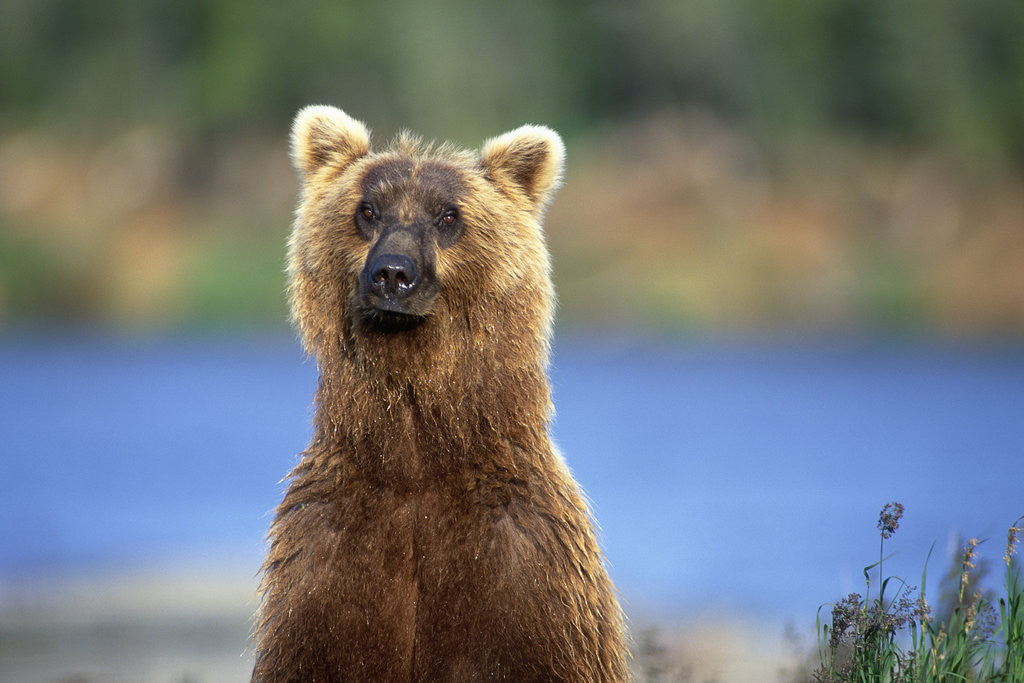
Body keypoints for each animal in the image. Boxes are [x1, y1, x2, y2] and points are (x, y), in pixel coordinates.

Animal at [251, 105, 629, 681]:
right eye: (368, 210)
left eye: (448, 216)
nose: (392, 273)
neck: (416, 459)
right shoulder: (328, 566)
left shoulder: (525, 575)